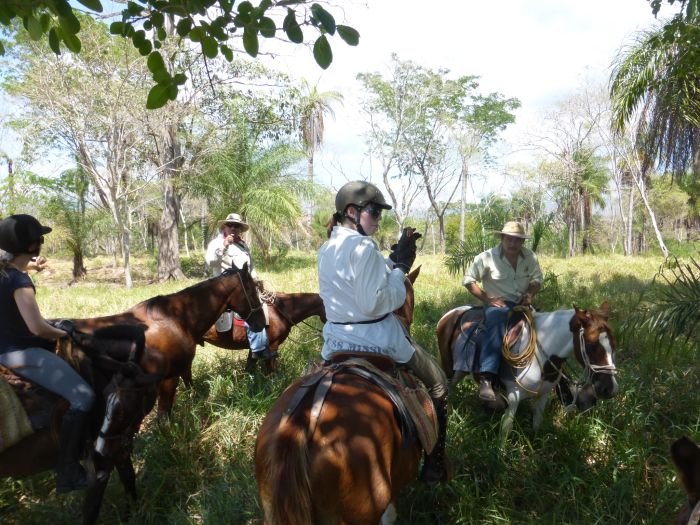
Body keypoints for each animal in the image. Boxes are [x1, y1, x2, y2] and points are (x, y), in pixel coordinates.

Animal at [0, 326, 161, 520]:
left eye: (126, 408)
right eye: (105, 395)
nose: (100, 449)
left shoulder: (117, 450)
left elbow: (129, 480)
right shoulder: (101, 466)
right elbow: (91, 509)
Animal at [68, 264, 266, 416]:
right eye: (252, 289)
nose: (262, 322)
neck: (176, 317)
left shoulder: (183, 368)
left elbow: (190, 387)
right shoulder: (169, 379)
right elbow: (164, 418)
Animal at [438, 298, 616, 442]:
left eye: (613, 344)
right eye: (592, 345)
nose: (611, 389)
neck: (543, 356)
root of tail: (456, 311)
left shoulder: (543, 394)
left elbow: (537, 421)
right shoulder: (514, 395)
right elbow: (506, 427)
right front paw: (501, 453)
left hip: (460, 370)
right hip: (449, 367)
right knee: (448, 388)